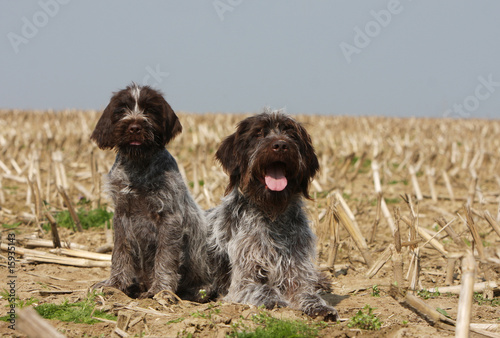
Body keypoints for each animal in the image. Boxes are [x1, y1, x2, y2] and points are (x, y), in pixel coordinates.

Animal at [92, 84, 209, 302]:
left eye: (150, 110)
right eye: (122, 109)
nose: (135, 127)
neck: (138, 165)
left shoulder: (169, 218)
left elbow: (165, 257)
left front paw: (161, 290)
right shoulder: (121, 215)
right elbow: (120, 252)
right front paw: (115, 284)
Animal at [205, 110, 338, 320]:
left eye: (291, 133)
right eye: (258, 133)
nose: (281, 145)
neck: (273, 215)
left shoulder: (295, 272)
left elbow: (306, 292)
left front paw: (320, 307)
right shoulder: (243, 282)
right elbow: (263, 289)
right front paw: (275, 301)